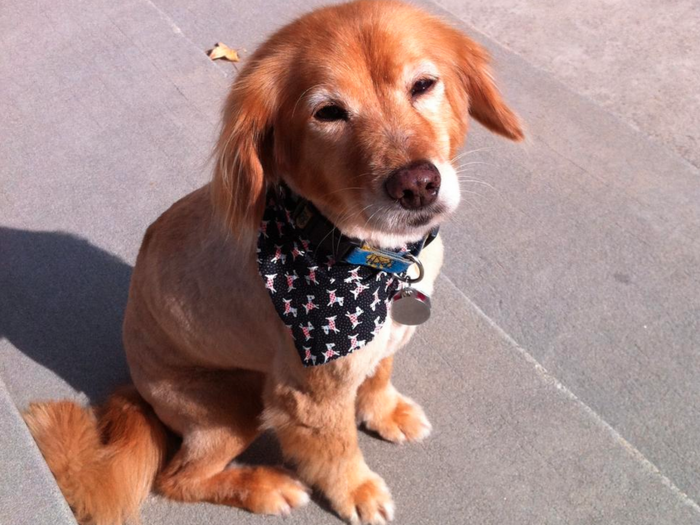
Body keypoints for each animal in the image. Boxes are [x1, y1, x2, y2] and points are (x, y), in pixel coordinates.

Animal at [23, 2, 520, 520]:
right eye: (328, 113)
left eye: (423, 85)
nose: (417, 184)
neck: (371, 257)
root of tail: (137, 391)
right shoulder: (305, 398)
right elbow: (336, 450)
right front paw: (357, 491)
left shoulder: (382, 344)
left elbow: (380, 372)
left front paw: (385, 411)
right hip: (233, 406)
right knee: (176, 479)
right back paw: (265, 487)